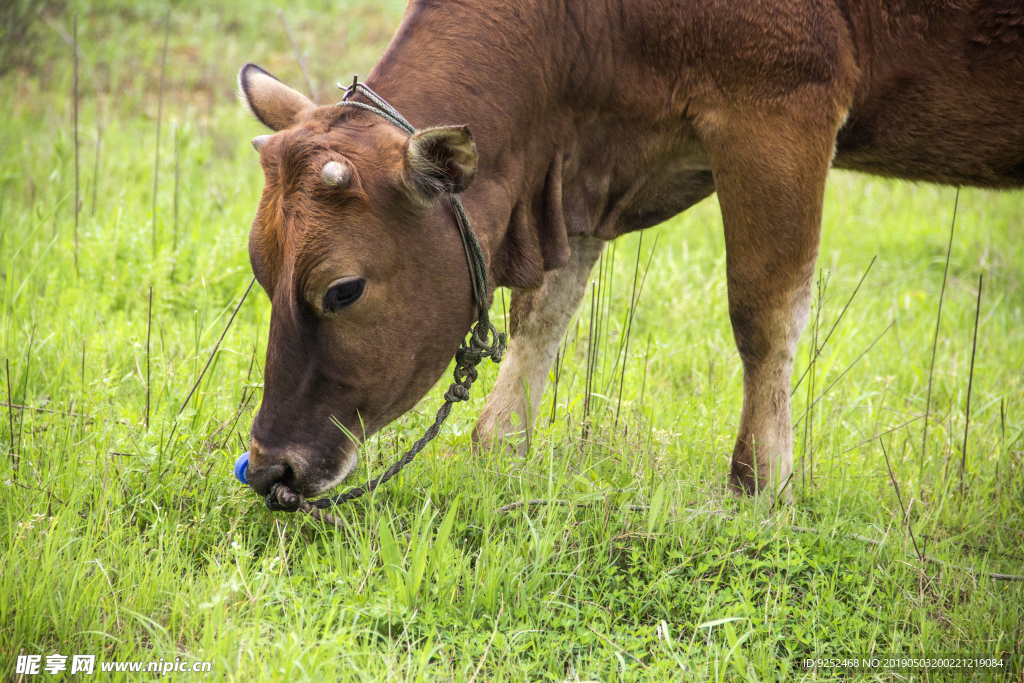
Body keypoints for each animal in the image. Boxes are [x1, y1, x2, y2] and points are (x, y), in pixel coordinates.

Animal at [235, 1, 1024, 501]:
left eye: (342, 289)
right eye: (261, 273)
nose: (272, 467)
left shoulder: (783, 107)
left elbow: (765, 313)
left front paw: (759, 482)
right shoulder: (581, 179)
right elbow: (542, 315)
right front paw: (501, 445)